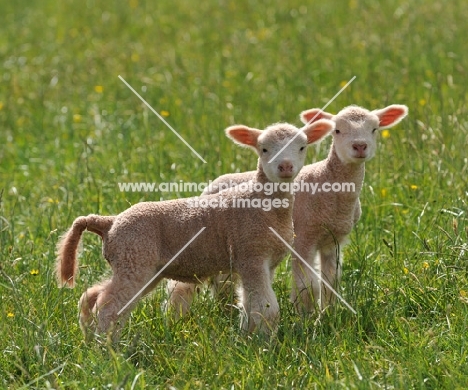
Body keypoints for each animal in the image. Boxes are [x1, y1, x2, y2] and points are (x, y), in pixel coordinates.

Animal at [56, 116, 334, 338]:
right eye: (263, 149)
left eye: (302, 147)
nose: (285, 167)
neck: (263, 203)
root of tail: (110, 222)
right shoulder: (251, 254)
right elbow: (266, 308)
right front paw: (265, 344)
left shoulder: (262, 263)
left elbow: (249, 304)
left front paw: (248, 336)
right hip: (134, 258)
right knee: (109, 307)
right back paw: (107, 350)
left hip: (140, 266)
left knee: (92, 295)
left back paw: (89, 338)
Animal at [166, 103, 408, 314]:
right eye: (337, 130)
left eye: (374, 129)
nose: (359, 146)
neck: (327, 181)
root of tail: (214, 183)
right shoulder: (304, 236)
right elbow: (309, 284)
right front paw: (305, 316)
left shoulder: (334, 240)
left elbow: (331, 281)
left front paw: (329, 313)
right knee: (183, 285)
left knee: (223, 280)